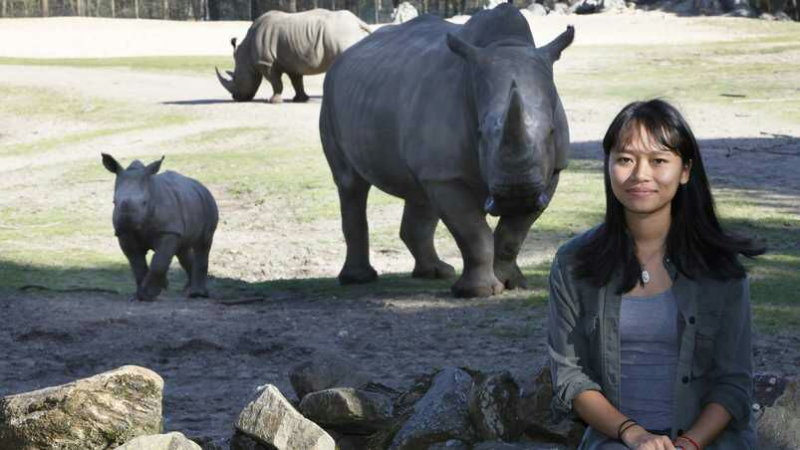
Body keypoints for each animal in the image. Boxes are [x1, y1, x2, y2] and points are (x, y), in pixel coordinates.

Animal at [102, 154, 219, 302]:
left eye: (145, 202)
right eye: (114, 202)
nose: (126, 224)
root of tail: (201, 185)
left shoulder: (168, 231)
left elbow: (158, 263)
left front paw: (149, 294)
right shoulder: (126, 236)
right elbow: (137, 264)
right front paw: (143, 294)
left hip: (207, 202)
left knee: (203, 244)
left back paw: (197, 294)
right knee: (183, 250)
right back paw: (187, 289)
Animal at [216, 9, 371, 103]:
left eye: (235, 78)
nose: (235, 97)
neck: (246, 54)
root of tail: (358, 22)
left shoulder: (266, 62)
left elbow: (276, 82)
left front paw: (273, 101)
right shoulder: (292, 61)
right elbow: (296, 82)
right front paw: (301, 99)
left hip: (342, 35)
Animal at [319, 5, 573, 297]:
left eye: (551, 132)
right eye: (480, 133)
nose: (516, 196)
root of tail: (346, 53)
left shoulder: (552, 171)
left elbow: (512, 235)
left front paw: (512, 283)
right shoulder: (447, 175)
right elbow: (473, 233)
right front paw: (479, 292)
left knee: (419, 190)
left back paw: (435, 273)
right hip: (330, 95)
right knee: (350, 184)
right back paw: (358, 279)